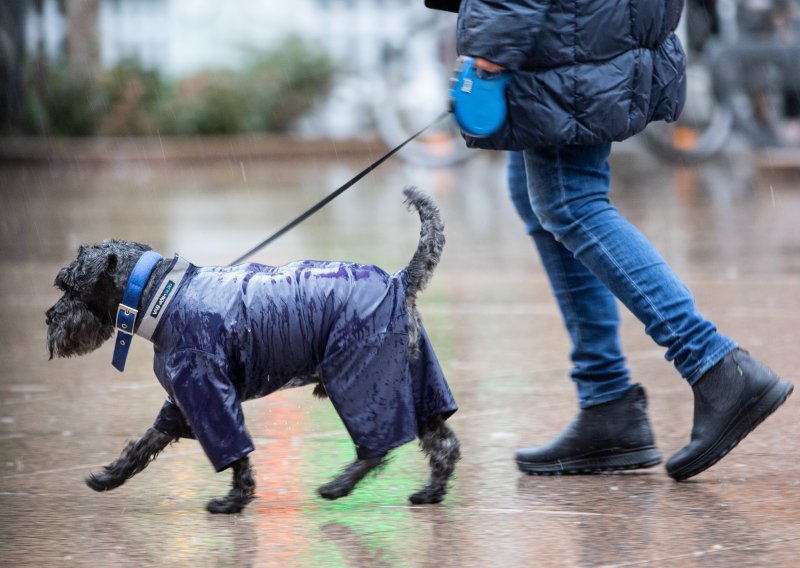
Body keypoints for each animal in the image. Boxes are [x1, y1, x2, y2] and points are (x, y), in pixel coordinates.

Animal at [48, 187, 462, 516]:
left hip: (360, 380)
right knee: (442, 441)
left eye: (69, 288)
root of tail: (400, 280)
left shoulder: (207, 391)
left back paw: (337, 486)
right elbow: (149, 440)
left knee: (377, 446)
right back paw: (430, 492)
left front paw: (233, 502)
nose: (49, 319)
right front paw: (111, 475)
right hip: (411, 378)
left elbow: (235, 452)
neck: (159, 294)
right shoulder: (185, 397)